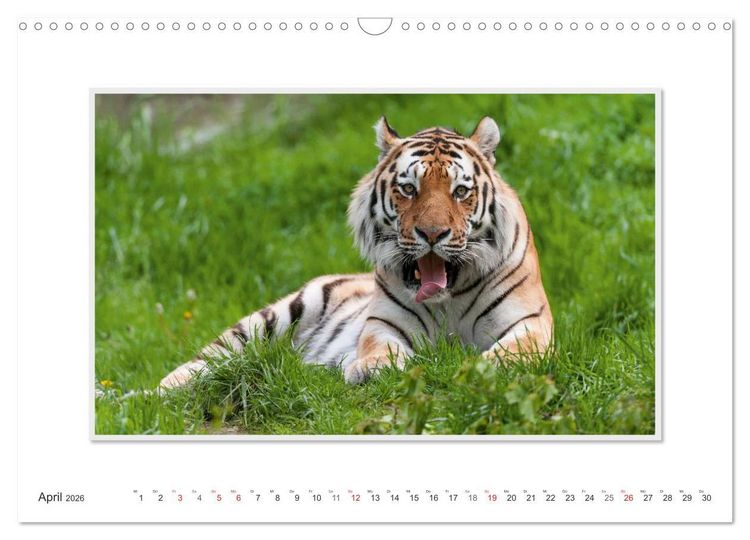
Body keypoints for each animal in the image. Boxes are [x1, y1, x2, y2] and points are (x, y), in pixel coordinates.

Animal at [160, 116, 553, 388]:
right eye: (408, 189)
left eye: (460, 191)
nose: (432, 233)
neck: (448, 298)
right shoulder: (385, 323)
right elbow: (380, 346)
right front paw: (372, 368)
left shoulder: (530, 322)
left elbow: (516, 350)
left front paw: (488, 365)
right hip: (273, 317)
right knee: (203, 363)